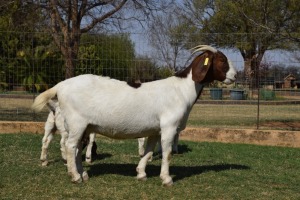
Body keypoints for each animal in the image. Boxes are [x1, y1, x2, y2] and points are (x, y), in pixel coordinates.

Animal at [31, 45, 237, 186]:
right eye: (221, 61)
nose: (235, 76)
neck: (181, 89)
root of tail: (60, 86)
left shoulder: (155, 130)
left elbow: (148, 151)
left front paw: (141, 173)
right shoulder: (169, 127)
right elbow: (167, 153)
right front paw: (166, 179)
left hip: (85, 126)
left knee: (76, 147)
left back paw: (83, 174)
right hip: (76, 122)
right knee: (70, 145)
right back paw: (75, 177)